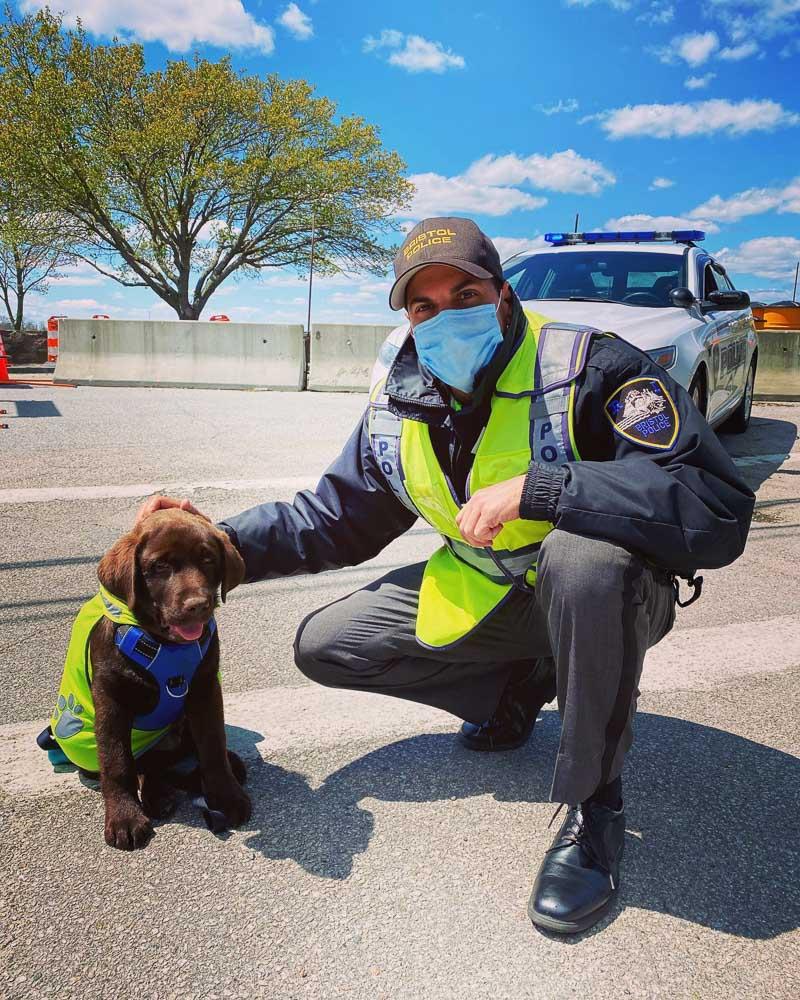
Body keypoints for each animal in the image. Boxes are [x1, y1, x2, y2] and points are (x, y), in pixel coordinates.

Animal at [88, 512, 252, 848]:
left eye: (208, 559)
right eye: (160, 566)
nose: (198, 605)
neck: (165, 645)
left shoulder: (205, 689)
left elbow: (213, 744)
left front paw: (227, 796)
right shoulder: (110, 697)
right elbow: (116, 760)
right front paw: (124, 816)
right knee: (143, 764)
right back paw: (157, 796)